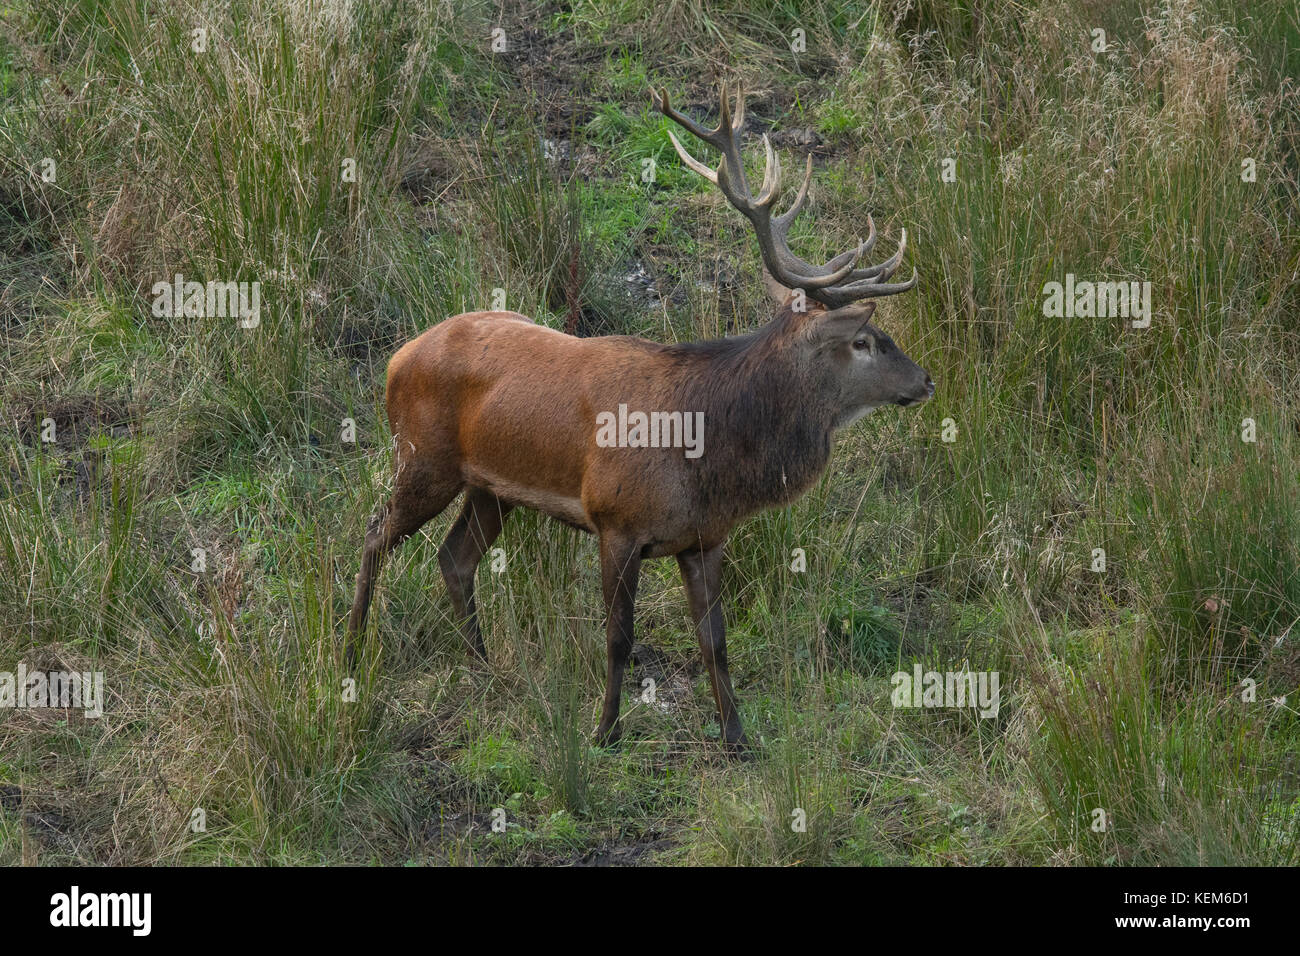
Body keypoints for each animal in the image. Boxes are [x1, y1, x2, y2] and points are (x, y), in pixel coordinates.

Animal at [345, 83, 935, 754]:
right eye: (863, 341)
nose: (925, 379)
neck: (706, 454)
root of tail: (397, 358)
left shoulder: (704, 538)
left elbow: (715, 641)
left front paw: (736, 737)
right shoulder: (615, 520)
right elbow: (619, 638)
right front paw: (605, 731)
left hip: (490, 488)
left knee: (455, 558)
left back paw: (483, 665)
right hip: (423, 458)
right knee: (372, 536)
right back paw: (352, 653)